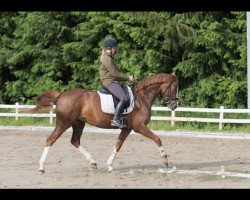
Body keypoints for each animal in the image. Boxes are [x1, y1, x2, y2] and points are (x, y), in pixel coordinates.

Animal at [30, 72, 179, 173]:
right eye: (174, 87)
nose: (174, 106)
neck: (141, 98)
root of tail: (61, 95)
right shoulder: (139, 127)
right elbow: (157, 139)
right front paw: (165, 160)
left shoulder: (127, 128)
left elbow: (118, 145)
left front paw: (109, 165)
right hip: (63, 123)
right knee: (50, 139)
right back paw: (41, 167)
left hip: (78, 123)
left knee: (75, 141)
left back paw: (93, 162)